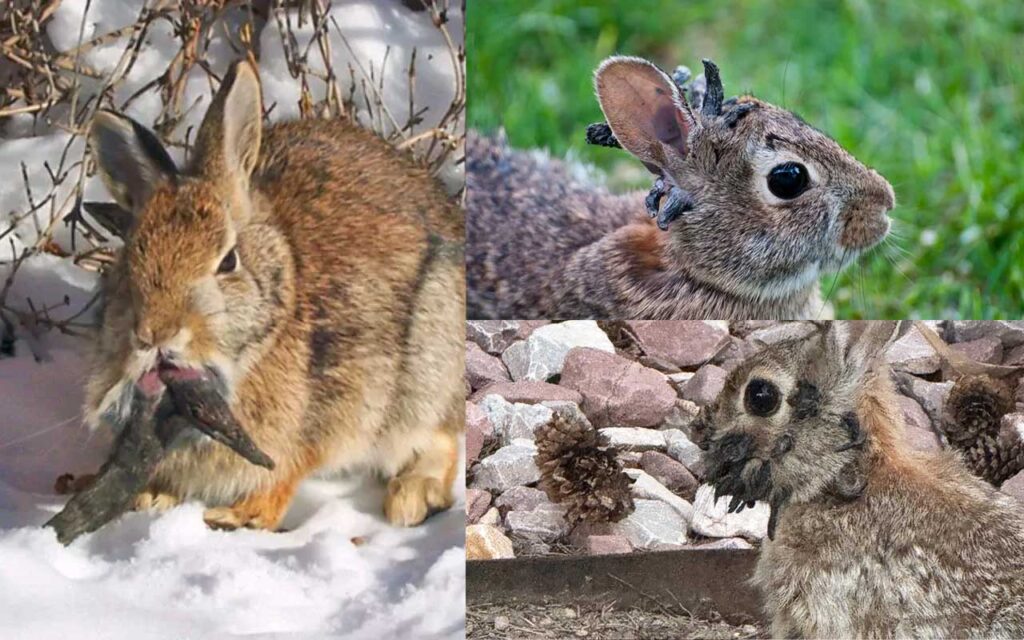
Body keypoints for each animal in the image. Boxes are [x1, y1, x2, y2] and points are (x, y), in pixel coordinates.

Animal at [81, 59, 465, 531]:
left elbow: (286, 472)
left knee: (440, 437)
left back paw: (411, 498)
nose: (156, 334)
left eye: (228, 262)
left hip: (428, 364)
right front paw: (152, 497)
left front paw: (240, 517)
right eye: (129, 258)